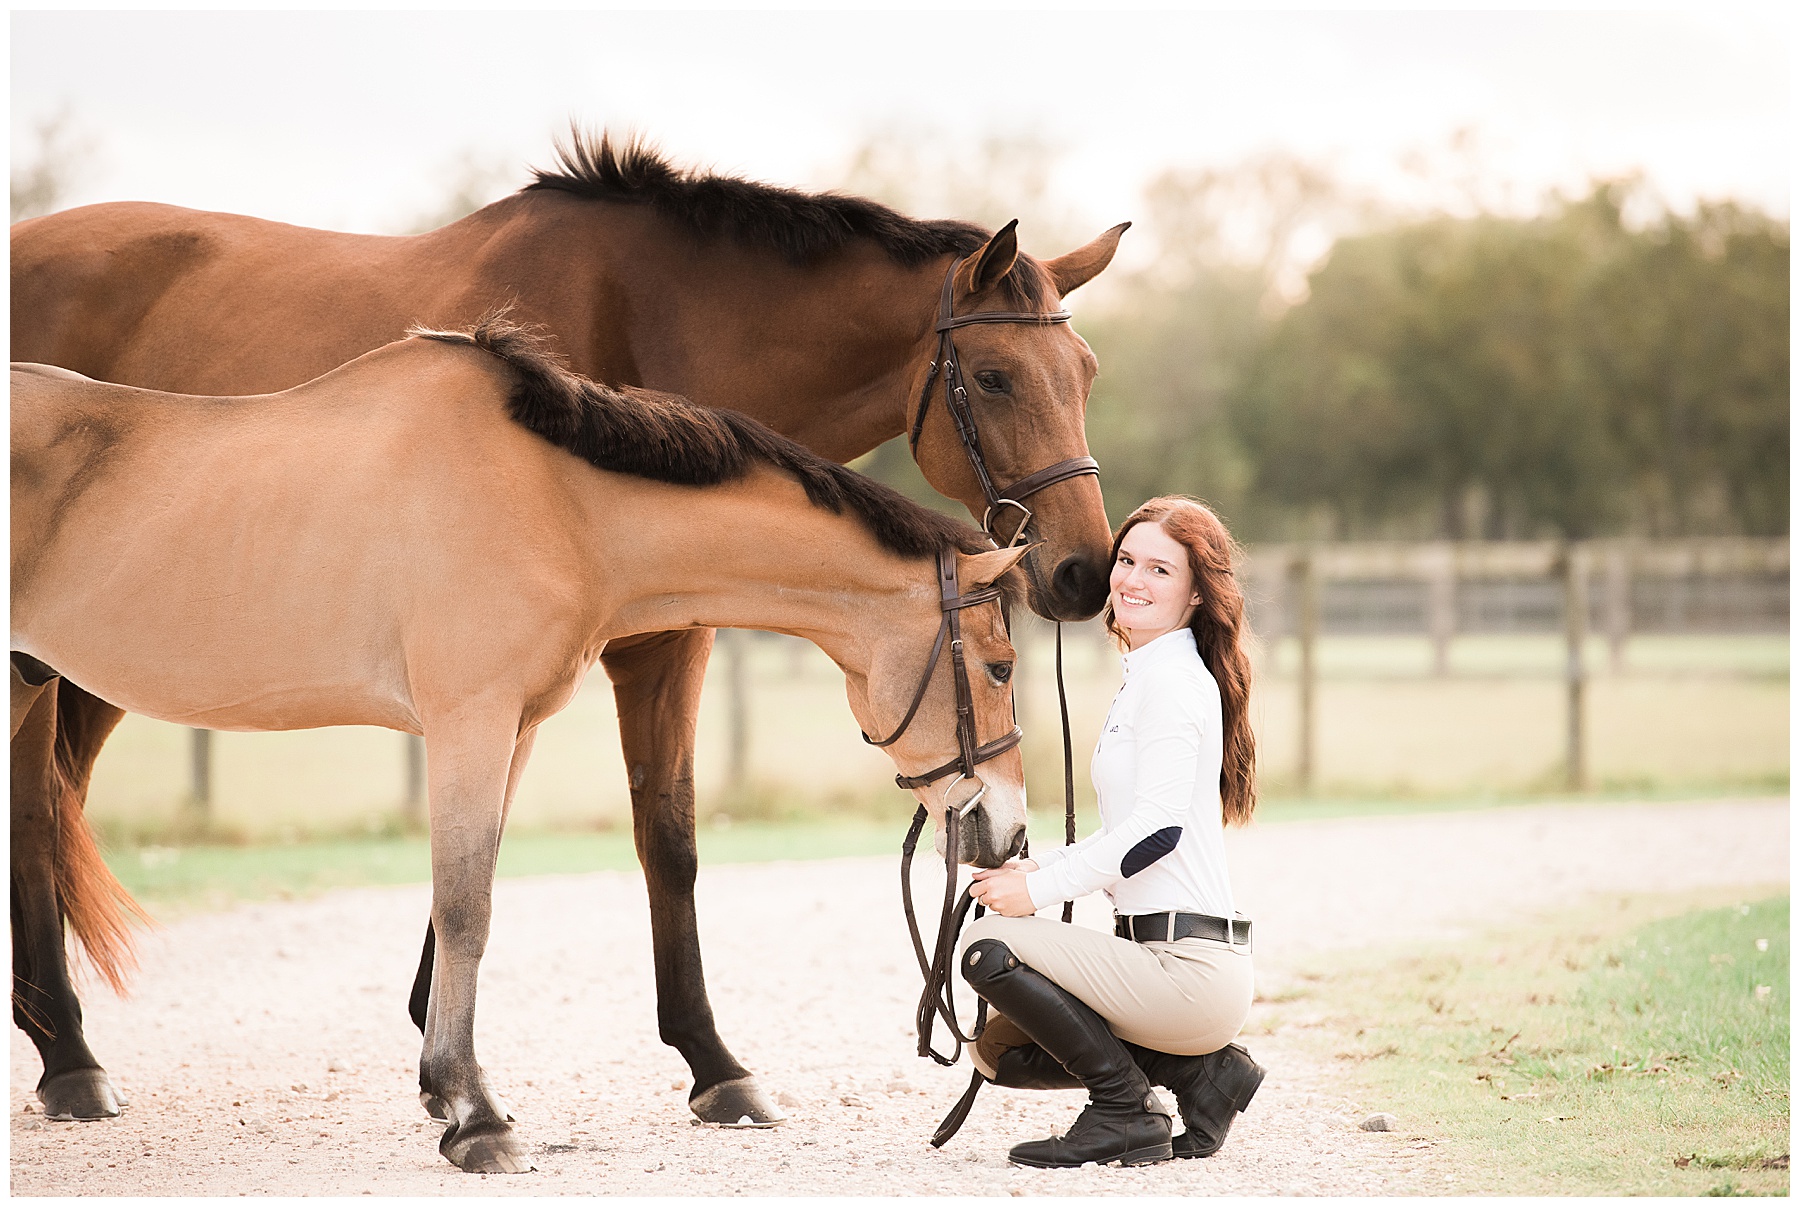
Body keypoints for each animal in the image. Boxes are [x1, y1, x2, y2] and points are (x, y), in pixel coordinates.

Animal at [9, 131, 1125, 1127]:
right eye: (994, 375)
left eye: (1086, 370)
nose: (1084, 571)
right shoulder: (584, 667)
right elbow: (599, 857)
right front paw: (677, 1069)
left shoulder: (590, 666)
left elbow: (570, 848)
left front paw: (454, 1055)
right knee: (36, 813)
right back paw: (70, 1060)